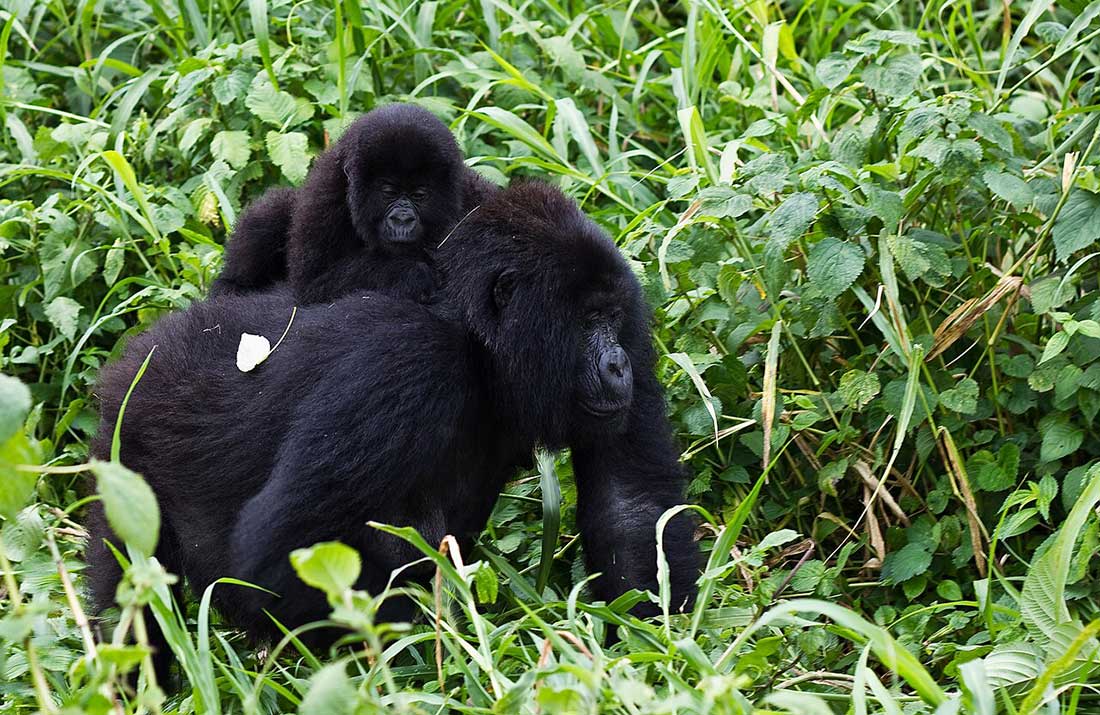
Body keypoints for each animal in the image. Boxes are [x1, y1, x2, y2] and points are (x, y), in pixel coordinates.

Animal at [90, 181, 699, 642]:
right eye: (588, 320)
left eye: (612, 317)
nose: (618, 365)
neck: (476, 342)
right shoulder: (406, 364)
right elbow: (280, 552)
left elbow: (632, 505)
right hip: (126, 440)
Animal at [210, 102, 495, 301]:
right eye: (389, 192)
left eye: (418, 195)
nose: (402, 219)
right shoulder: (325, 197)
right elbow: (314, 285)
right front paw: (411, 275)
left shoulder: (472, 194)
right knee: (273, 209)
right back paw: (231, 285)